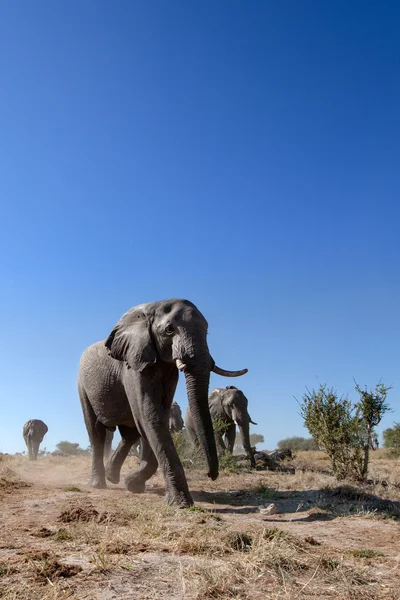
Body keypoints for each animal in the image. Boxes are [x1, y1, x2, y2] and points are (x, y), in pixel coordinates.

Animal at [77, 298, 247, 506]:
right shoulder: (133, 363)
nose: (210, 475)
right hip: (83, 385)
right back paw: (99, 483)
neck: (152, 307)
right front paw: (181, 503)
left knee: (130, 433)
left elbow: (156, 416)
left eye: (206, 331)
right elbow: (149, 415)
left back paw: (113, 477)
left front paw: (133, 484)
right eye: (169, 330)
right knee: (96, 432)